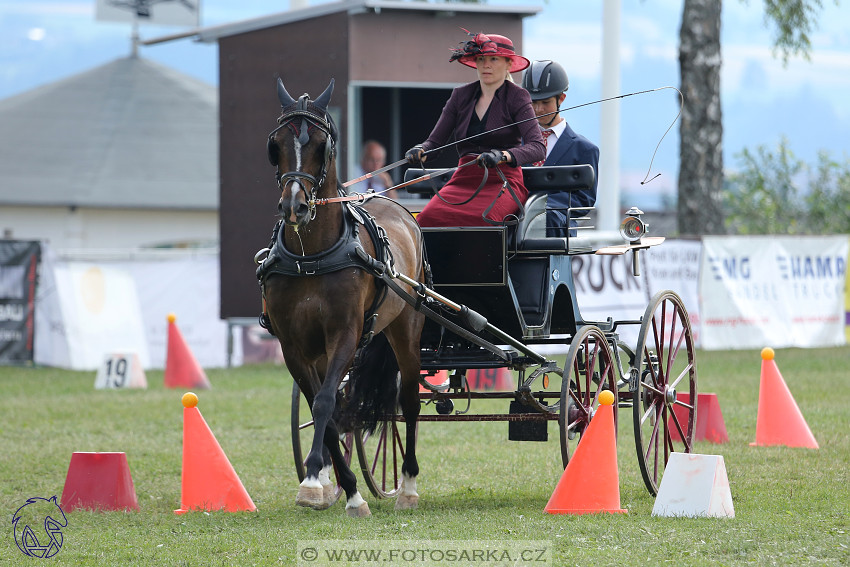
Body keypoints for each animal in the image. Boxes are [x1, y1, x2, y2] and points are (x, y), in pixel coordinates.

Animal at [256, 77, 428, 516]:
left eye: (322, 144)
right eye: (276, 144)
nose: (295, 206)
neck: (311, 256)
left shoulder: (345, 335)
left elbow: (324, 404)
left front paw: (317, 478)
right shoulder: (293, 347)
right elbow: (326, 410)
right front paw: (335, 486)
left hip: (406, 328)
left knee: (409, 401)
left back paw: (408, 486)